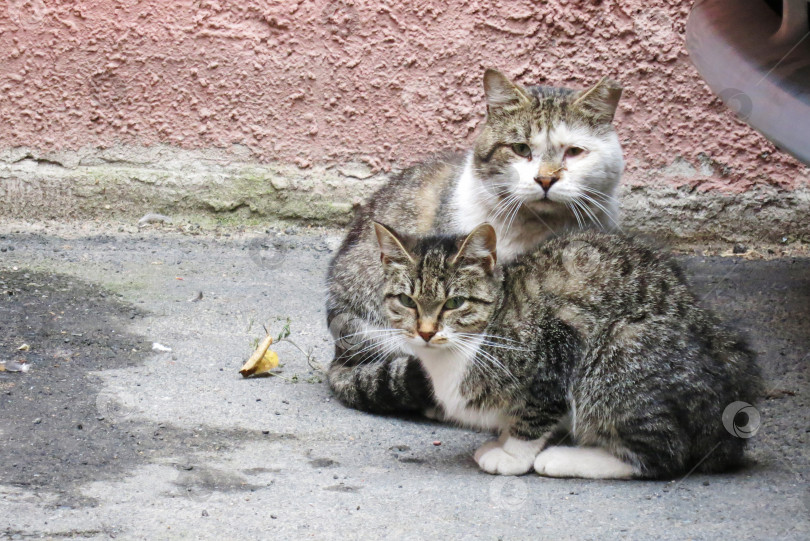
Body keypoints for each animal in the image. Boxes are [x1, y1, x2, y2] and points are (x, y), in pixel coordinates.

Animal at [370, 221, 760, 478]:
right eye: (406, 301)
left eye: (454, 303)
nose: (425, 332)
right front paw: (502, 439)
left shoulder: (559, 342)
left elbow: (536, 414)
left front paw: (513, 454)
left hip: (619, 353)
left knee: (664, 455)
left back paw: (568, 458)